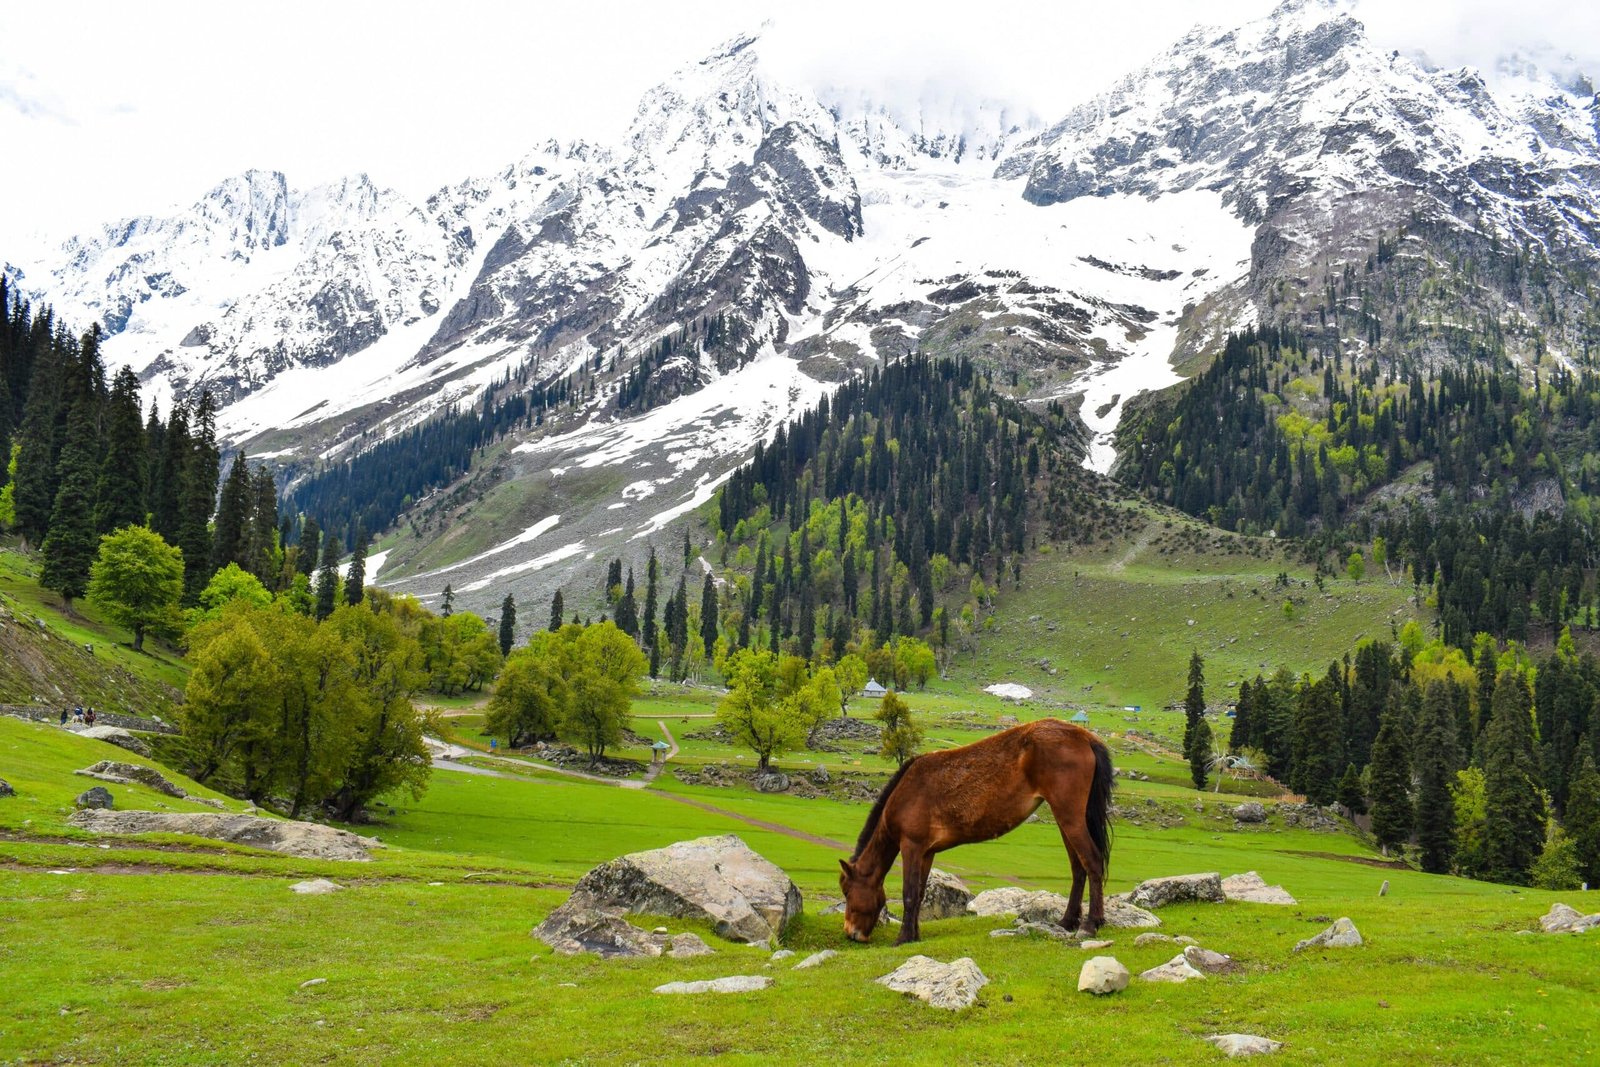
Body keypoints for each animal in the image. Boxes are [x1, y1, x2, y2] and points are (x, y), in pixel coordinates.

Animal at [838, 718, 1113, 944]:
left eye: (847, 891)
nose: (851, 933)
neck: (906, 792)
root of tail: (1085, 737)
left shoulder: (911, 846)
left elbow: (909, 893)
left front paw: (903, 938)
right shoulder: (926, 852)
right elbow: (920, 893)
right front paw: (914, 935)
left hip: (1069, 816)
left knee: (1092, 861)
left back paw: (1091, 924)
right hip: (1065, 819)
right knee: (1078, 868)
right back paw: (1067, 921)